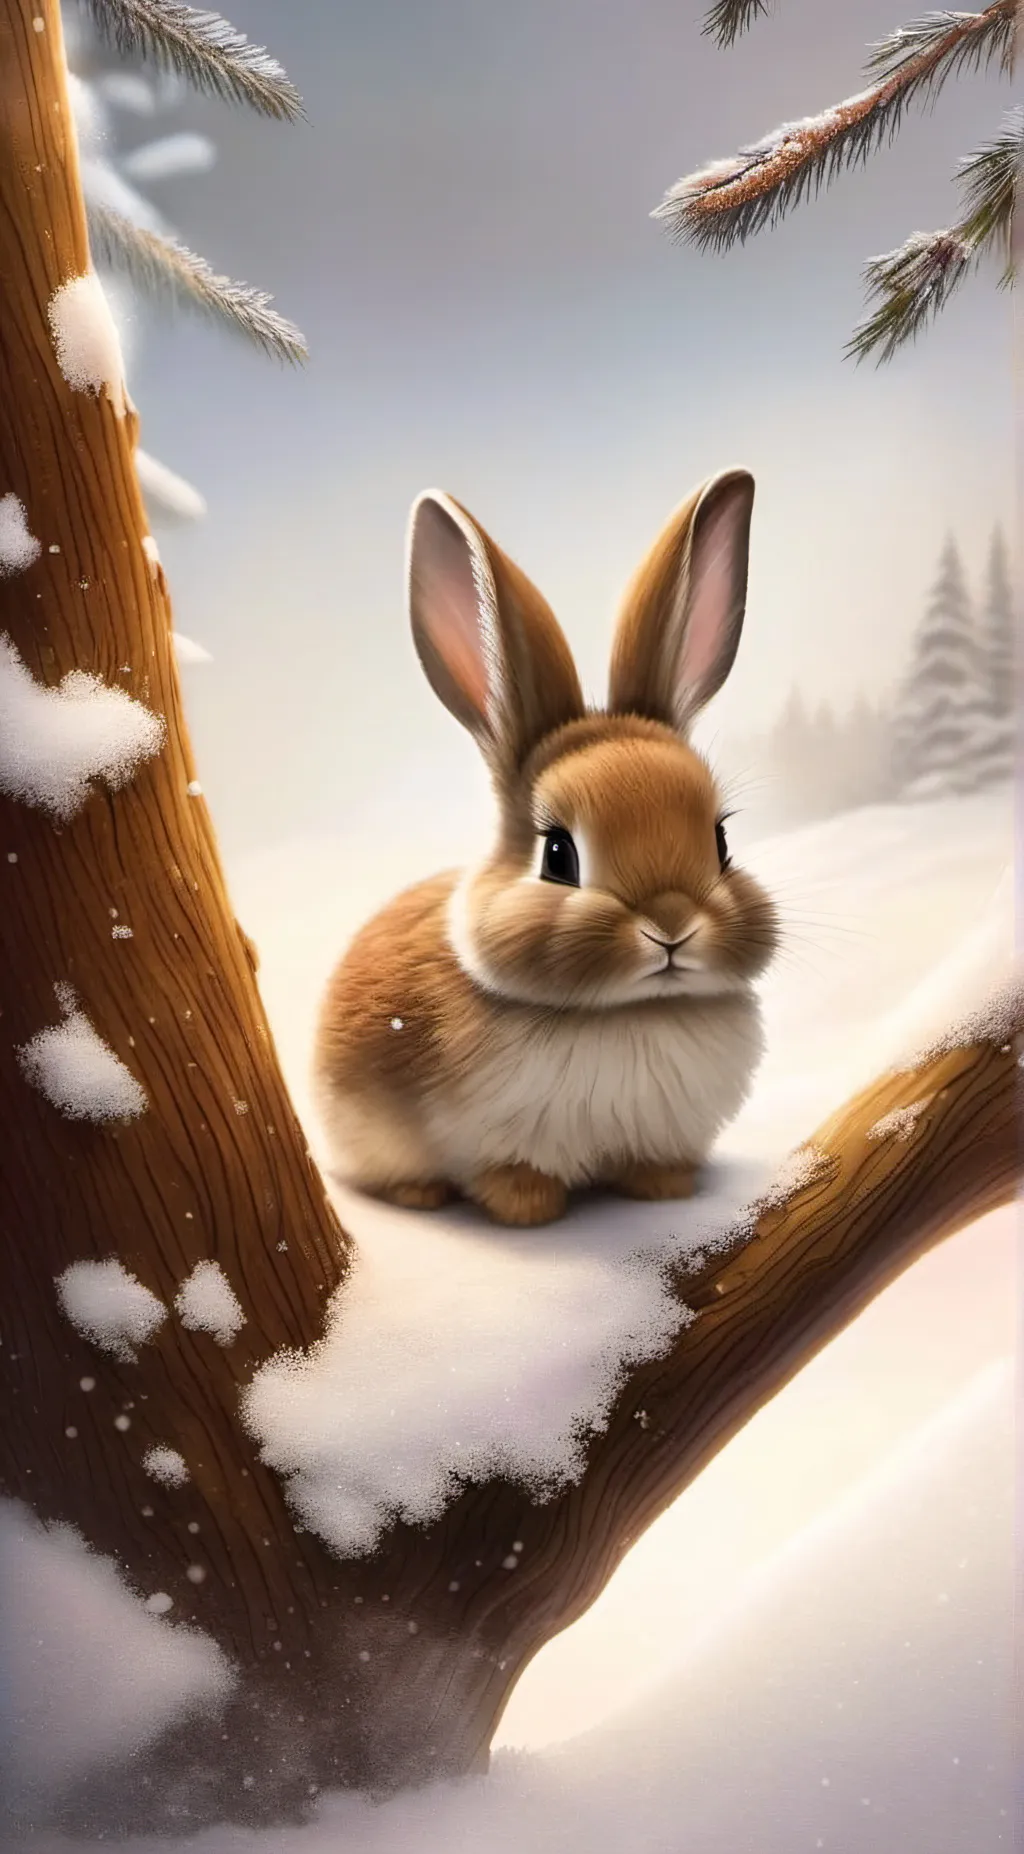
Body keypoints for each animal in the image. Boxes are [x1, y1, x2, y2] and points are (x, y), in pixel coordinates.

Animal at [313, 469, 778, 1227]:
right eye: (558, 854)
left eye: (721, 840)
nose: (672, 925)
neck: (630, 1014)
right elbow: (509, 1175)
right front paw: (528, 1207)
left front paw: (663, 1188)